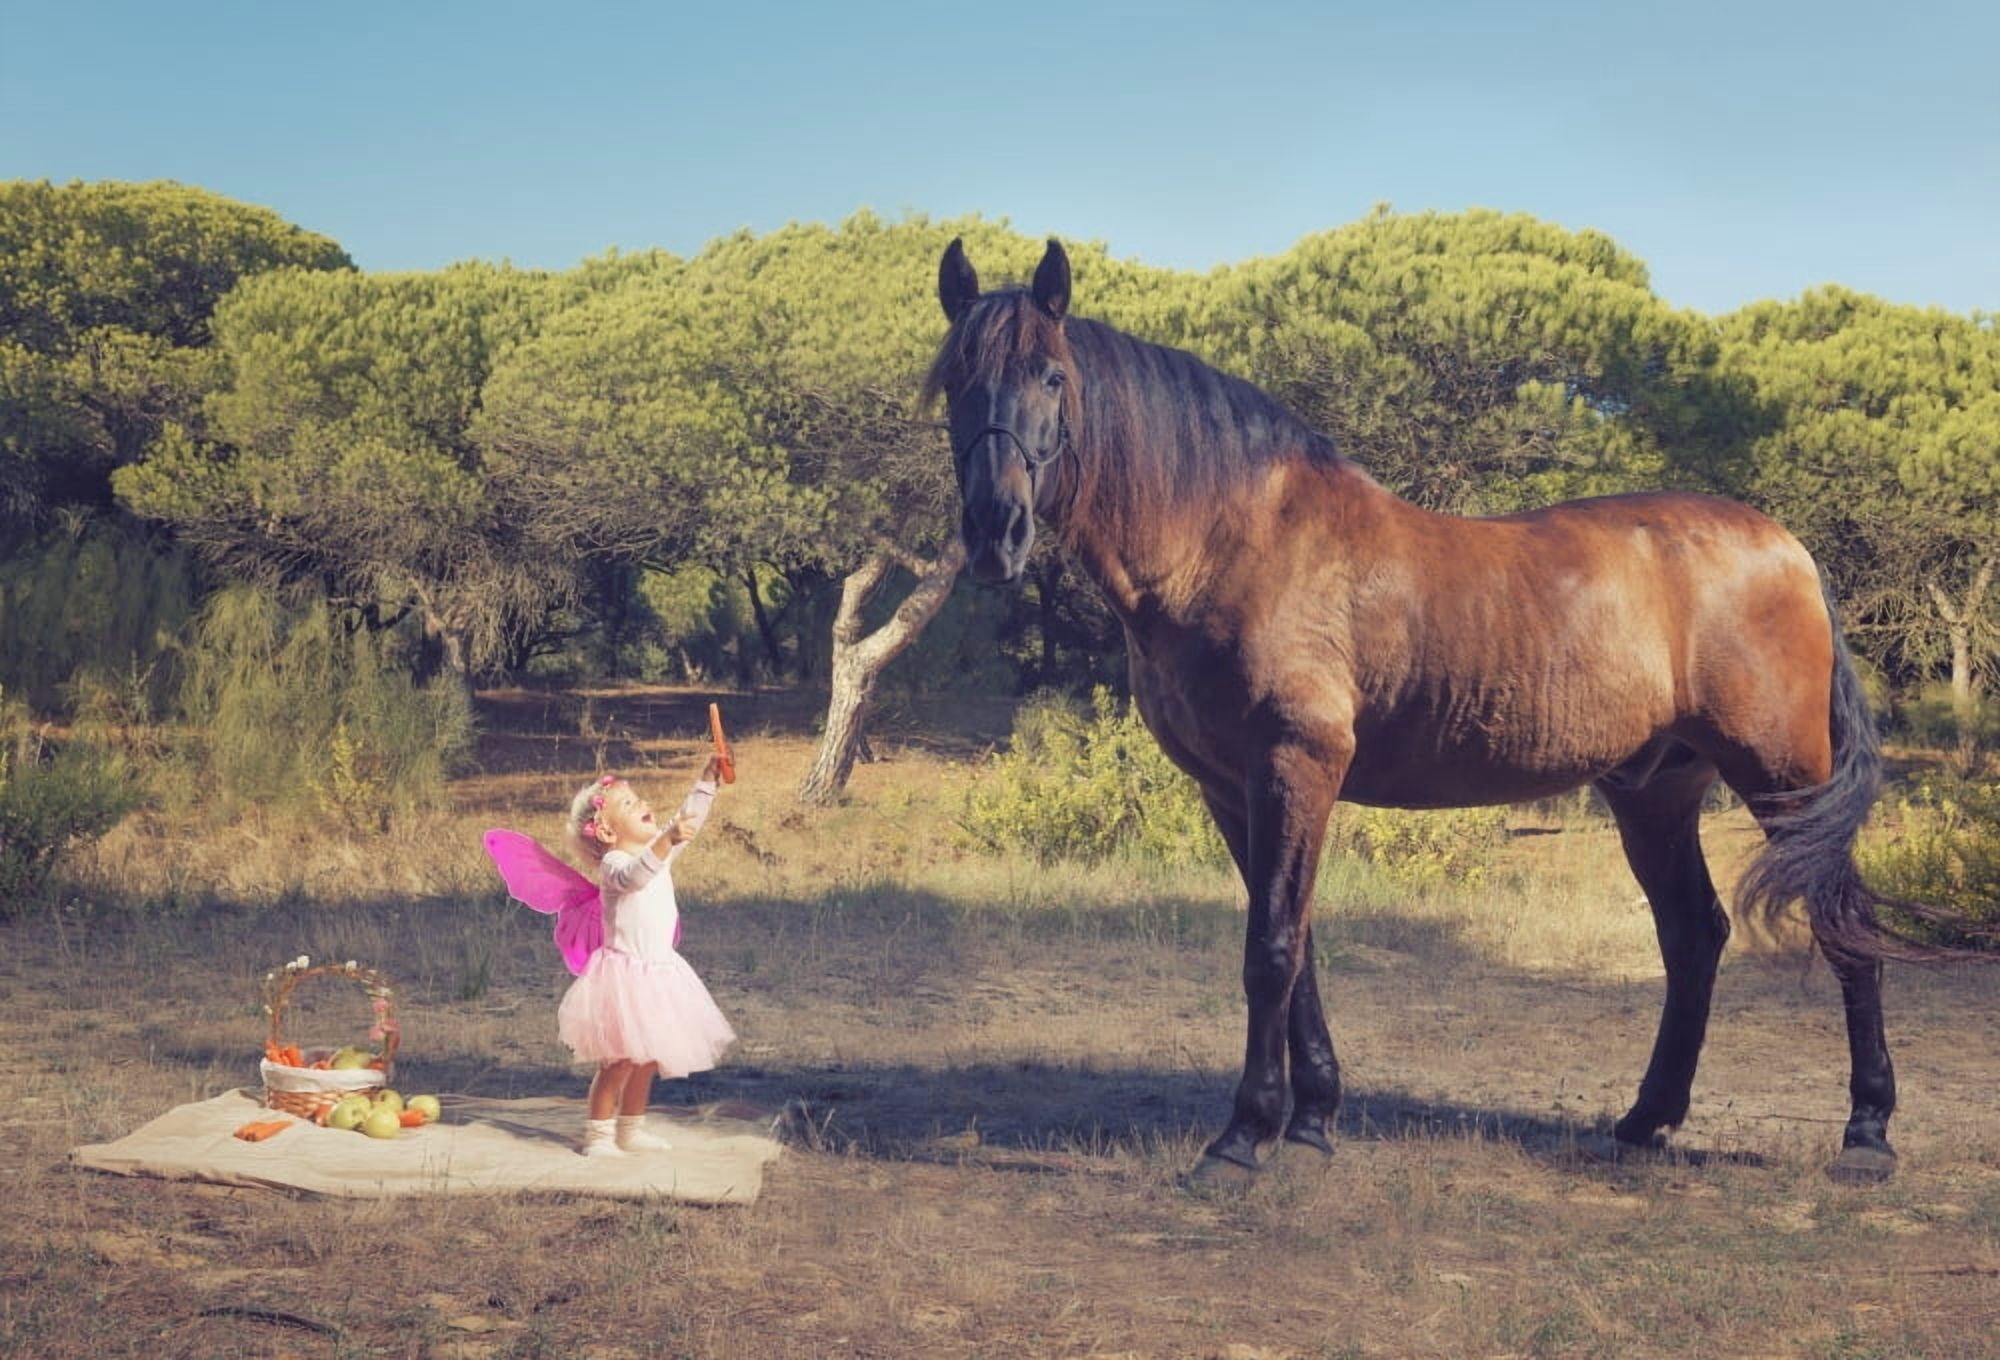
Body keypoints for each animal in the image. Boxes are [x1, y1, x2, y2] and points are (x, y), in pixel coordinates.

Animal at [926, 235, 1952, 1187]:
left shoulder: (1296, 765)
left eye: (1053, 377)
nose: (995, 533)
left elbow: (1271, 948)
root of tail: (1790, 550)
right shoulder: (1233, 787)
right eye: (955, 382)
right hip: (1655, 790)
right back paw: (1643, 1122)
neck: (1235, 542)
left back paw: (1866, 1136)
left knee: (1841, 920)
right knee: (1693, 934)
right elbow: (1296, 940)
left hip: (1782, 775)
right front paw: (1313, 1120)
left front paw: (1242, 1140)